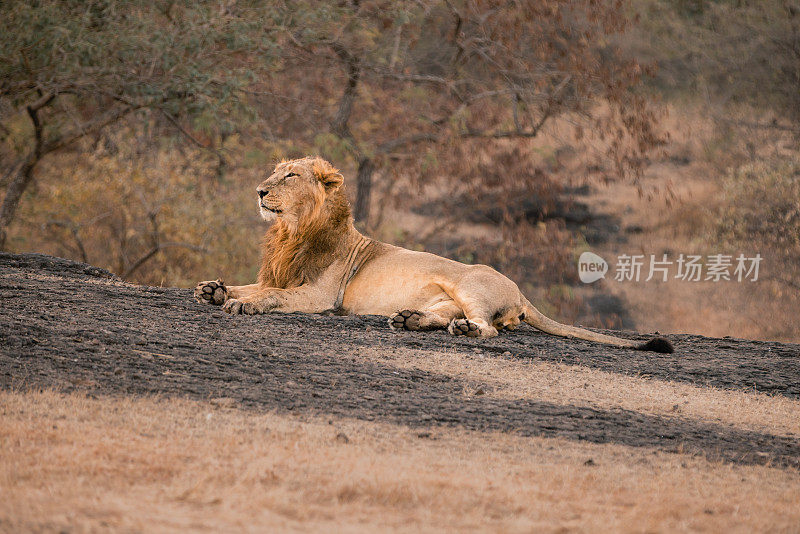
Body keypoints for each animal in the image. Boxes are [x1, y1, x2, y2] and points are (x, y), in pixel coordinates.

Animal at [195, 157, 676, 354]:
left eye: (289, 176)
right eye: (274, 173)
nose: (259, 191)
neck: (290, 233)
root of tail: (521, 291)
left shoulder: (320, 296)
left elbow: (271, 296)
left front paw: (243, 304)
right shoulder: (278, 275)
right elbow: (252, 285)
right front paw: (215, 290)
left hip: (470, 285)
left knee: (489, 329)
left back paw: (462, 331)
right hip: (446, 298)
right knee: (448, 316)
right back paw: (410, 320)